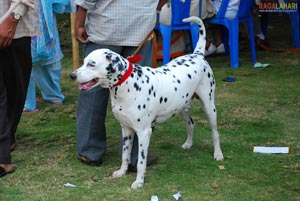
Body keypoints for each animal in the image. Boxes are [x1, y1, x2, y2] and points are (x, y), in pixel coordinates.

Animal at [71, 16, 223, 189]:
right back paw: (188, 144)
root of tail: (197, 55)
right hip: (182, 108)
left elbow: (141, 162)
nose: (72, 75)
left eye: (92, 64)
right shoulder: (126, 130)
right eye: (84, 61)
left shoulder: (144, 132)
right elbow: (125, 155)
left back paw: (218, 154)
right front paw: (122, 172)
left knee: (215, 132)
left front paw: (139, 181)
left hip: (209, 107)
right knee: (191, 123)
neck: (128, 84)